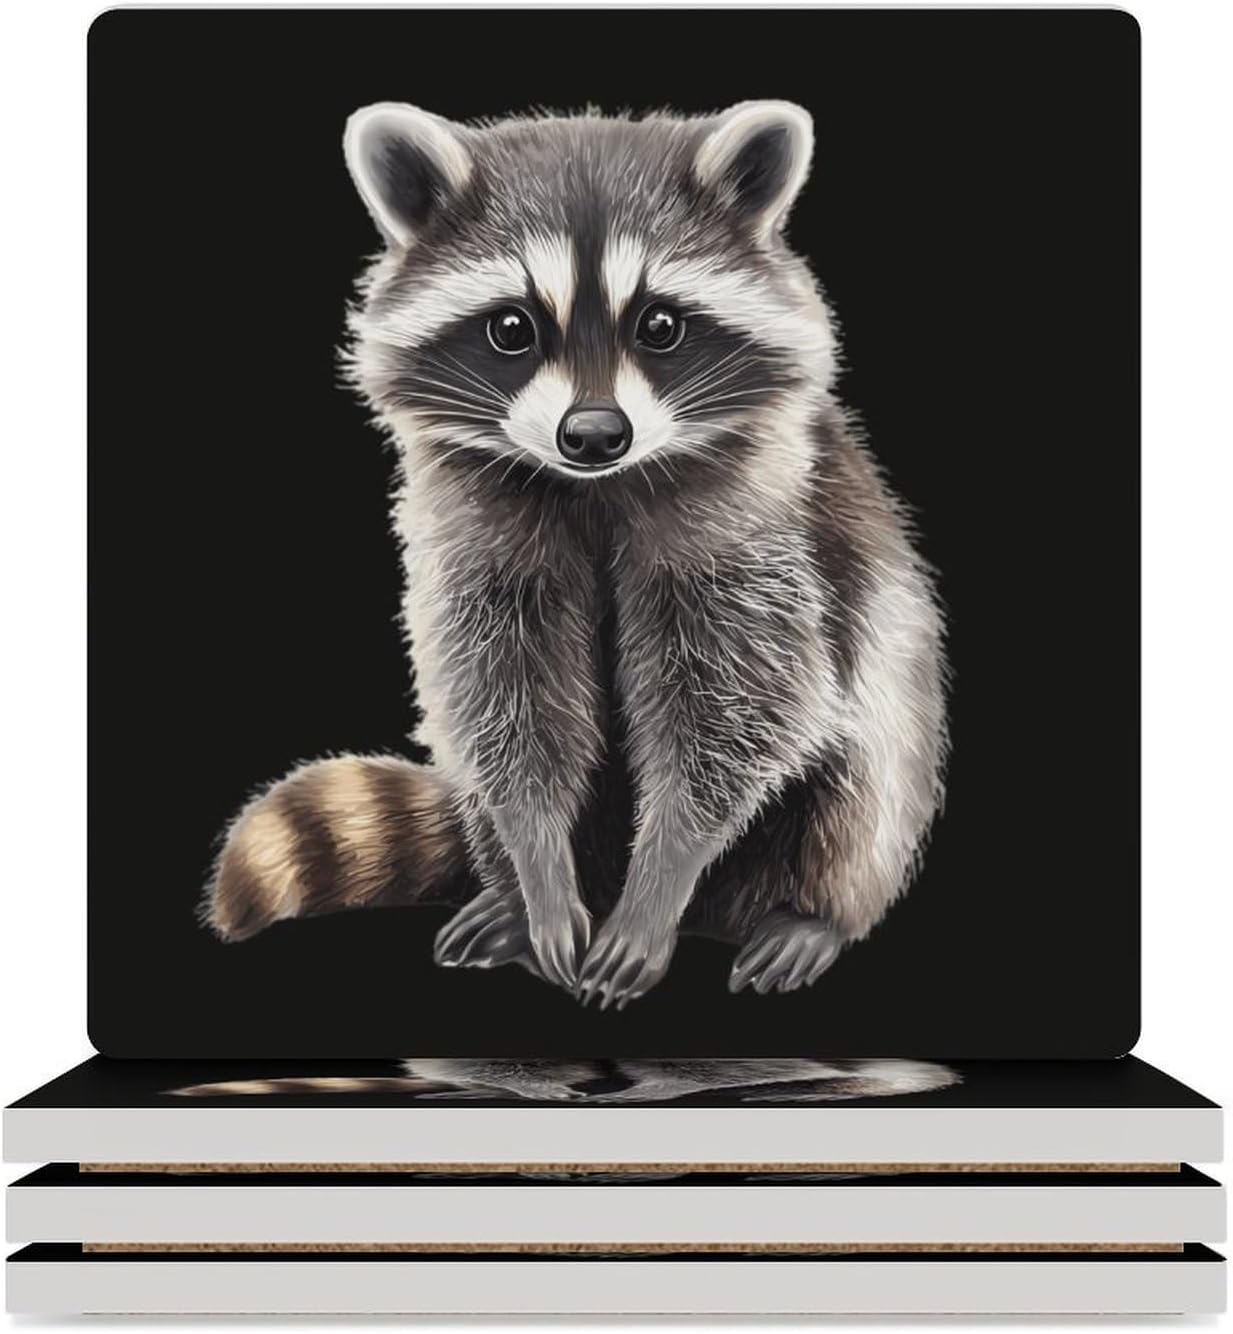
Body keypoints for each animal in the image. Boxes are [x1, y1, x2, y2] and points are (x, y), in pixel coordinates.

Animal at [203, 101, 948, 1009]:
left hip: (885, 715)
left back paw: (811, 914)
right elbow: (503, 703)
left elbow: (739, 711)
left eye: (659, 326)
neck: (596, 487)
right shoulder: (472, 528)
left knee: (865, 776)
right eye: (511, 329)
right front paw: (538, 867)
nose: (593, 434)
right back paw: (508, 899)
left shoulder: (754, 522)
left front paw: (662, 875)